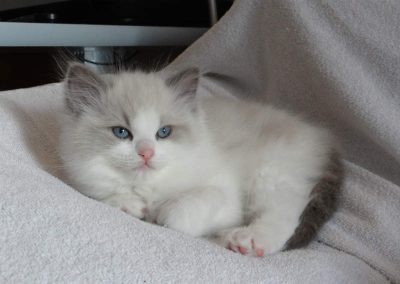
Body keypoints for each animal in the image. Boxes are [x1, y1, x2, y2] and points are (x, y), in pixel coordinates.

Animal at [60, 62, 344, 258]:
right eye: (121, 132)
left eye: (164, 132)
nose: (146, 153)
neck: (148, 188)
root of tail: (321, 136)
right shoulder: (87, 180)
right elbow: (104, 196)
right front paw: (130, 204)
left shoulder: (224, 194)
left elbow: (185, 207)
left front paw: (161, 215)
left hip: (271, 173)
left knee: (284, 215)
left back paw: (245, 239)